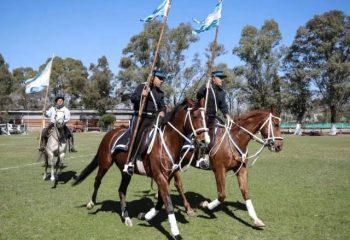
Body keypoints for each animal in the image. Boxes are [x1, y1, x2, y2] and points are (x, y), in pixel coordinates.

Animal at [71, 98, 208, 239]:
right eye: (195, 116)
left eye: (206, 116)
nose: (204, 142)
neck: (167, 141)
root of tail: (110, 134)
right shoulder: (160, 177)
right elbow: (168, 204)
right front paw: (176, 233)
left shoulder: (167, 177)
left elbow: (161, 201)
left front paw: (146, 215)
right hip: (104, 163)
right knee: (97, 181)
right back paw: (91, 203)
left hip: (125, 172)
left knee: (121, 190)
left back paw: (126, 217)